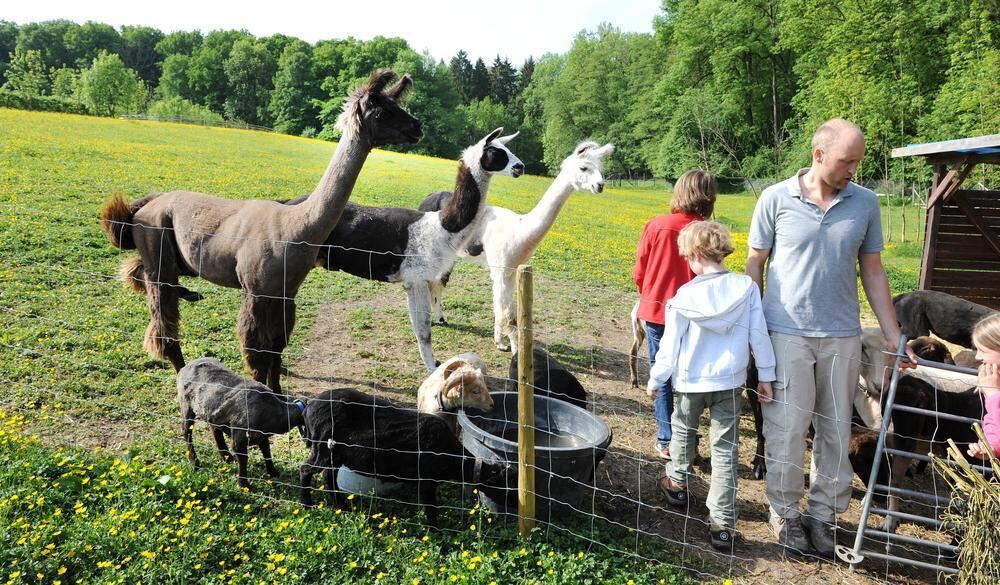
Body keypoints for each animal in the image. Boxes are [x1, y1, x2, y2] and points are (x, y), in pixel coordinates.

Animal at [178, 356, 304, 488]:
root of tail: (186, 366)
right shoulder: (239, 438)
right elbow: (243, 460)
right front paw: (244, 484)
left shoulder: (261, 436)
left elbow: (267, 451)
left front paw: (273, 472)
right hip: (186, 406)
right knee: (187, 432)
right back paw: (195, 463)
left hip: (211, 411)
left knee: (215, 430)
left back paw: (226, 457)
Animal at [296, 386, 500, 528]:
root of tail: (308, 407)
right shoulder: (426, 481)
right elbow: (431, 509)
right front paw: (435, 533)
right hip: (323, 447)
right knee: (305, 469)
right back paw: (307, 504)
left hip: (335, 453)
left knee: (328, 476)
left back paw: (342, 507)